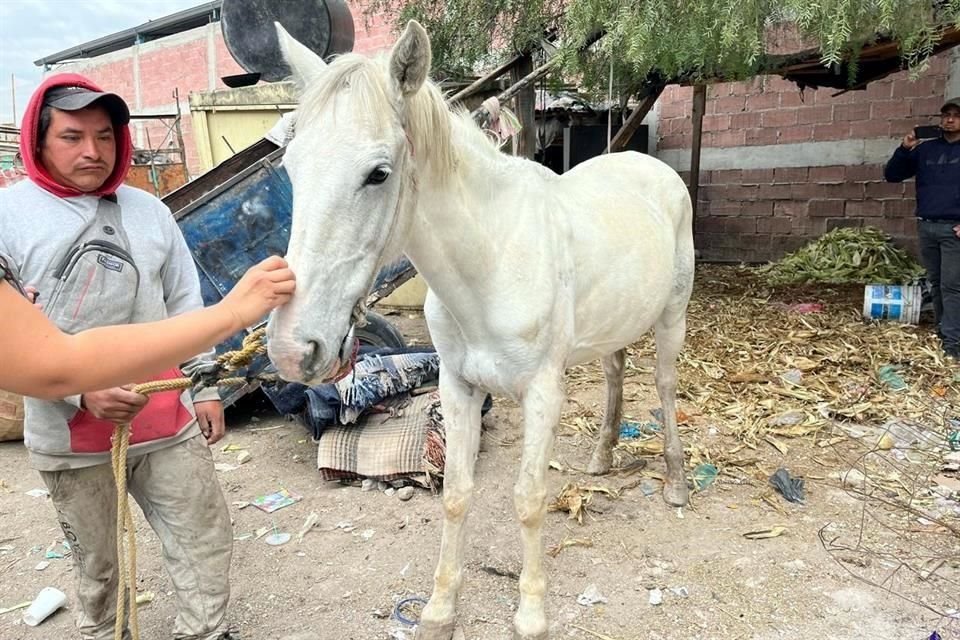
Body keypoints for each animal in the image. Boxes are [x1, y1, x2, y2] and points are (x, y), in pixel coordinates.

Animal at [266, 20, 692, 640]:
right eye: (292, 167)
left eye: (378, 173)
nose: (292, 348)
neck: (491, 263)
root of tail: (652, 169)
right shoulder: (458, 388)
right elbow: (456, 494)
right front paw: (440, 609)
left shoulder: (543, 392)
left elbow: (529, 498)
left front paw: (532, 611)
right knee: (616, 373)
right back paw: (602, 457)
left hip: (670, 320)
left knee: (663, 387)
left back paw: (678, 484)